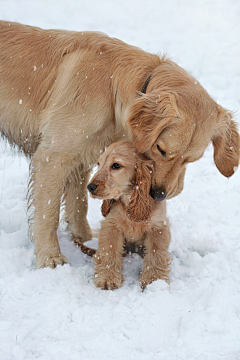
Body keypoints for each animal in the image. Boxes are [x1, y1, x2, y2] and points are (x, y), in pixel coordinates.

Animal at [87, 141, 171, 290]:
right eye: (98, 164)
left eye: (116, 165)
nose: (90, 187)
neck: (128, 200)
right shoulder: (111, 225)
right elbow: (110, 251)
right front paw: (107, 279)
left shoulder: (158, 226)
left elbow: (156, 253)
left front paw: (153, 280)